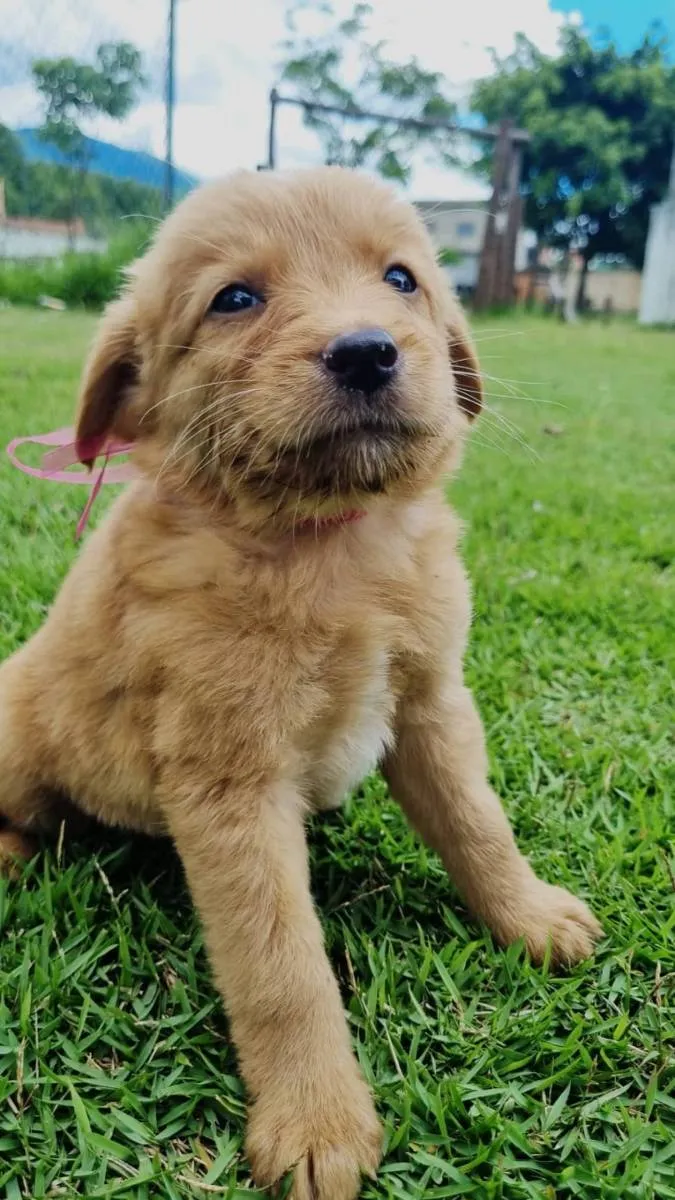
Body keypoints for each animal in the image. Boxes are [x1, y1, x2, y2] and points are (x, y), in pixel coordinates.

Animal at [0, 171, 598, 1200]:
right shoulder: (228, 779)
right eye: (235, 297)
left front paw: (529, 917)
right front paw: (315, 1121)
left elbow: (477, 825)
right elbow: (281, 965)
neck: (328, 544)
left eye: (400, 278)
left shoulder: (430, 702)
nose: (366, 350)